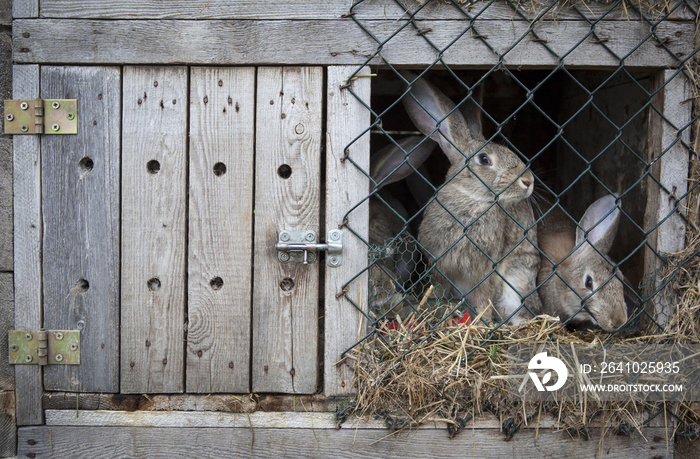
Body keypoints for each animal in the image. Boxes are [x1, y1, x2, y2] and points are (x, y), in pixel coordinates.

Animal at [400, 73, 540, 324]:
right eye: (484, 159)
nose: (528, 181)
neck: (471, 199)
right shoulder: (439, 265)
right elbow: (441, 288)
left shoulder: (485, 269)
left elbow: (484, 295)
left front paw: (481, 321)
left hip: (517, 281)